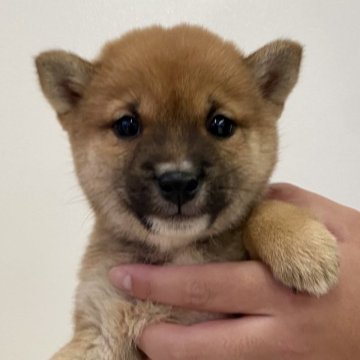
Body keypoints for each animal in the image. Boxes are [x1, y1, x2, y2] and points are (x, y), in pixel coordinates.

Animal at [35, 23, 338, 358]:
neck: (175, 251)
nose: (178, 182)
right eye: (127, 125)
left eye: (220, 124)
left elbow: (261, 207)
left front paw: (303, 246)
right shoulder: (102, 326)